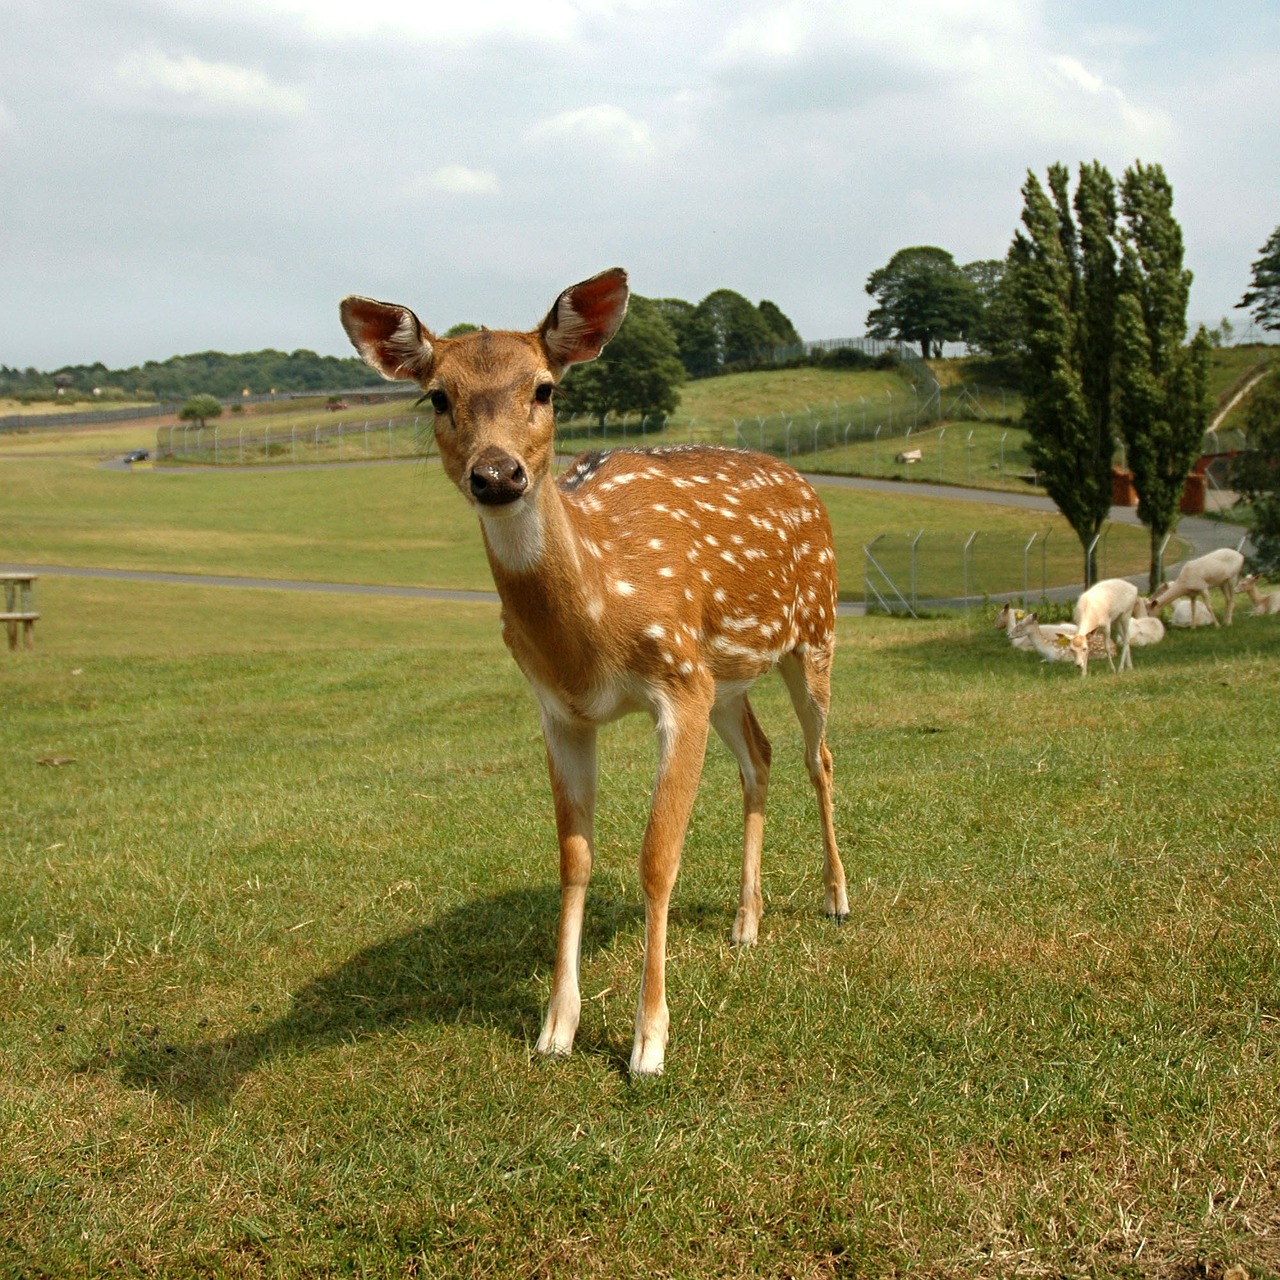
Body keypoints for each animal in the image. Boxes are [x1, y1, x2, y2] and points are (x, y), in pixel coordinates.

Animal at [337, 270, 849, 1080]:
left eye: (545, 388)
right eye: (438, 397)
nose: (497, 473)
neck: (596, 625)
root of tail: (805, 480)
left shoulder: (678, 682)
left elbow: (657, 858)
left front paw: (649, 1041)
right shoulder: (562, 710)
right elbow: (574, 859)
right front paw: (556, 1026)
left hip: (814, 632)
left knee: (818, 755)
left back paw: (836, 899)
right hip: (727, 676)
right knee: (761, 756)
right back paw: (746, 920)